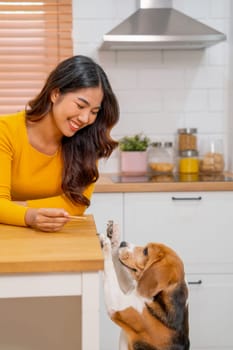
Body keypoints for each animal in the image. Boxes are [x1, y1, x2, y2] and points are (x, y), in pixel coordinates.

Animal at [99, 221, 190, 350]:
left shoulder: (118, 306)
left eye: (146, 251)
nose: (123, 243)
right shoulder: (131, 289)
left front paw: (106, 244)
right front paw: (114, 234)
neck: (156, 298)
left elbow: (110, 266)